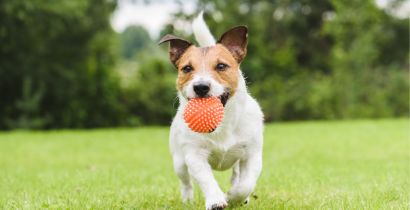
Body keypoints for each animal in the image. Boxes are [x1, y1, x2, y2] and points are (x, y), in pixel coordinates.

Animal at [159, 12, 264, 209]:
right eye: (187, 68)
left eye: (221, 66)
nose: (201, 87)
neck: (222, 125)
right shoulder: (194, 155)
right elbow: (206, 179)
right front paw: (216, 200)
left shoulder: (252, 154)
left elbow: (246, 184)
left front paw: (234, 197)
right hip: (179, 161)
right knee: (186, 182)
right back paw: (187, 200)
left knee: (237, 175)